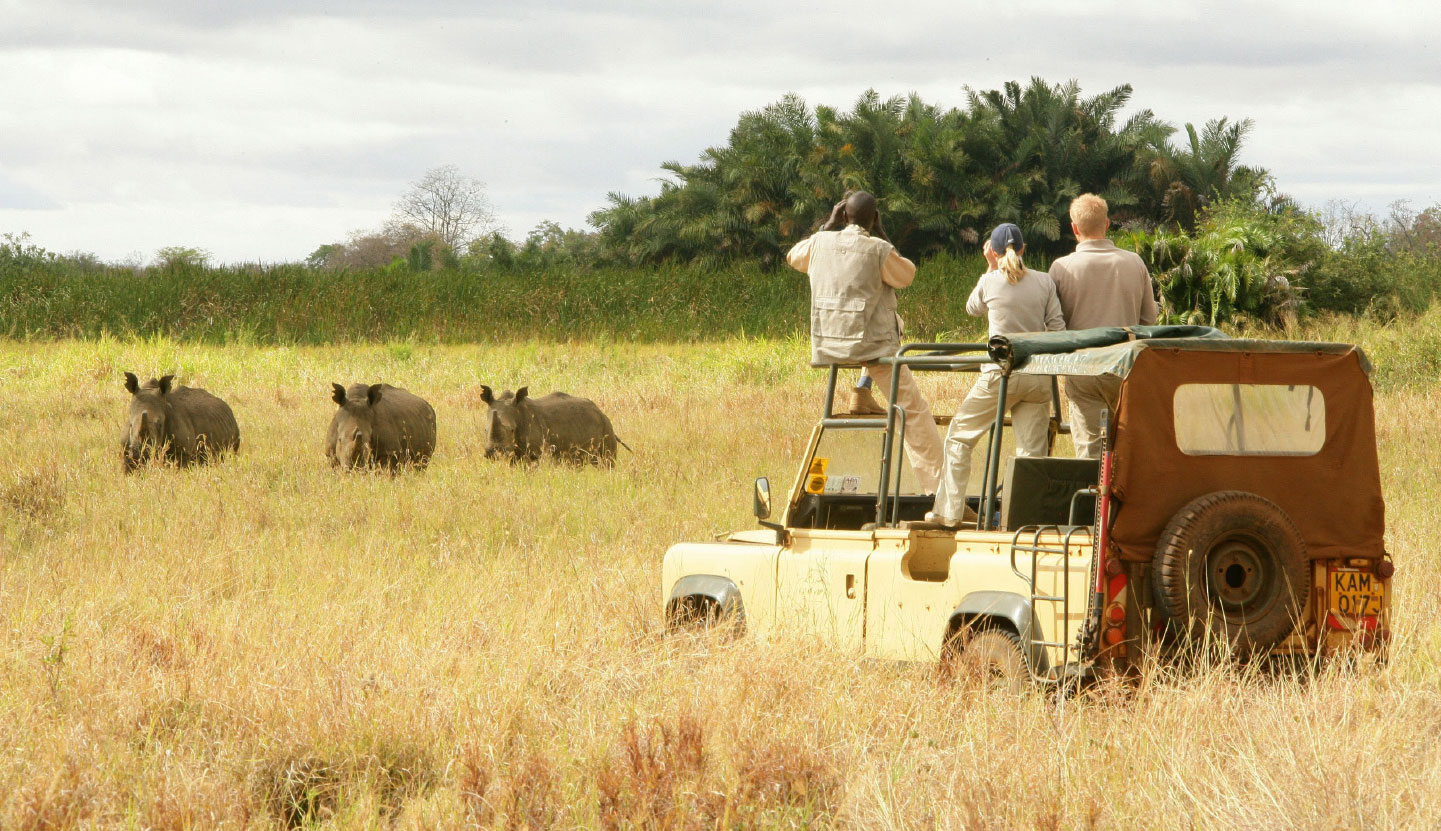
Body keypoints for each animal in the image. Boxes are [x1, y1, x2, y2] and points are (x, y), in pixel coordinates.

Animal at [481, 385, 628, 466]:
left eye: (512, 430)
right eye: (485, 429)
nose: (493, 453)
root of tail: (600, 411)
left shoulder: (535, 453)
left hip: (606, 427)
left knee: (606, 463)